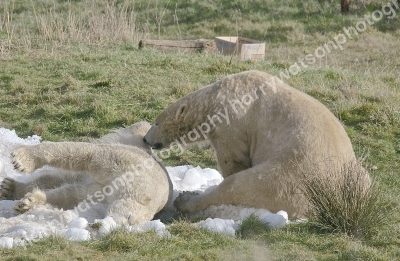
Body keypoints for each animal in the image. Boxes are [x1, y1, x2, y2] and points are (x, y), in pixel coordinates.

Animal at [0, 121, 172, 224]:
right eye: (129, 217)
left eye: (130, 225)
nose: (113, 226)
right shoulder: (125, 164)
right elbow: (89, 155)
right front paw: (22, 159)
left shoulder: (101, 194)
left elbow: (70, 194)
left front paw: (27, 203)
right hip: (129, 138)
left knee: (56, 178)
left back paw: (9, 188)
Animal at [143, 69, 368, 217]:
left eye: (156, 122)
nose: (146, 139)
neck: (215, 97)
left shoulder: (232, 121)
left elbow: (232, 158)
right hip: (357, 175)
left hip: (289, 175)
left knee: (241, 185)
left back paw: (186, 200)